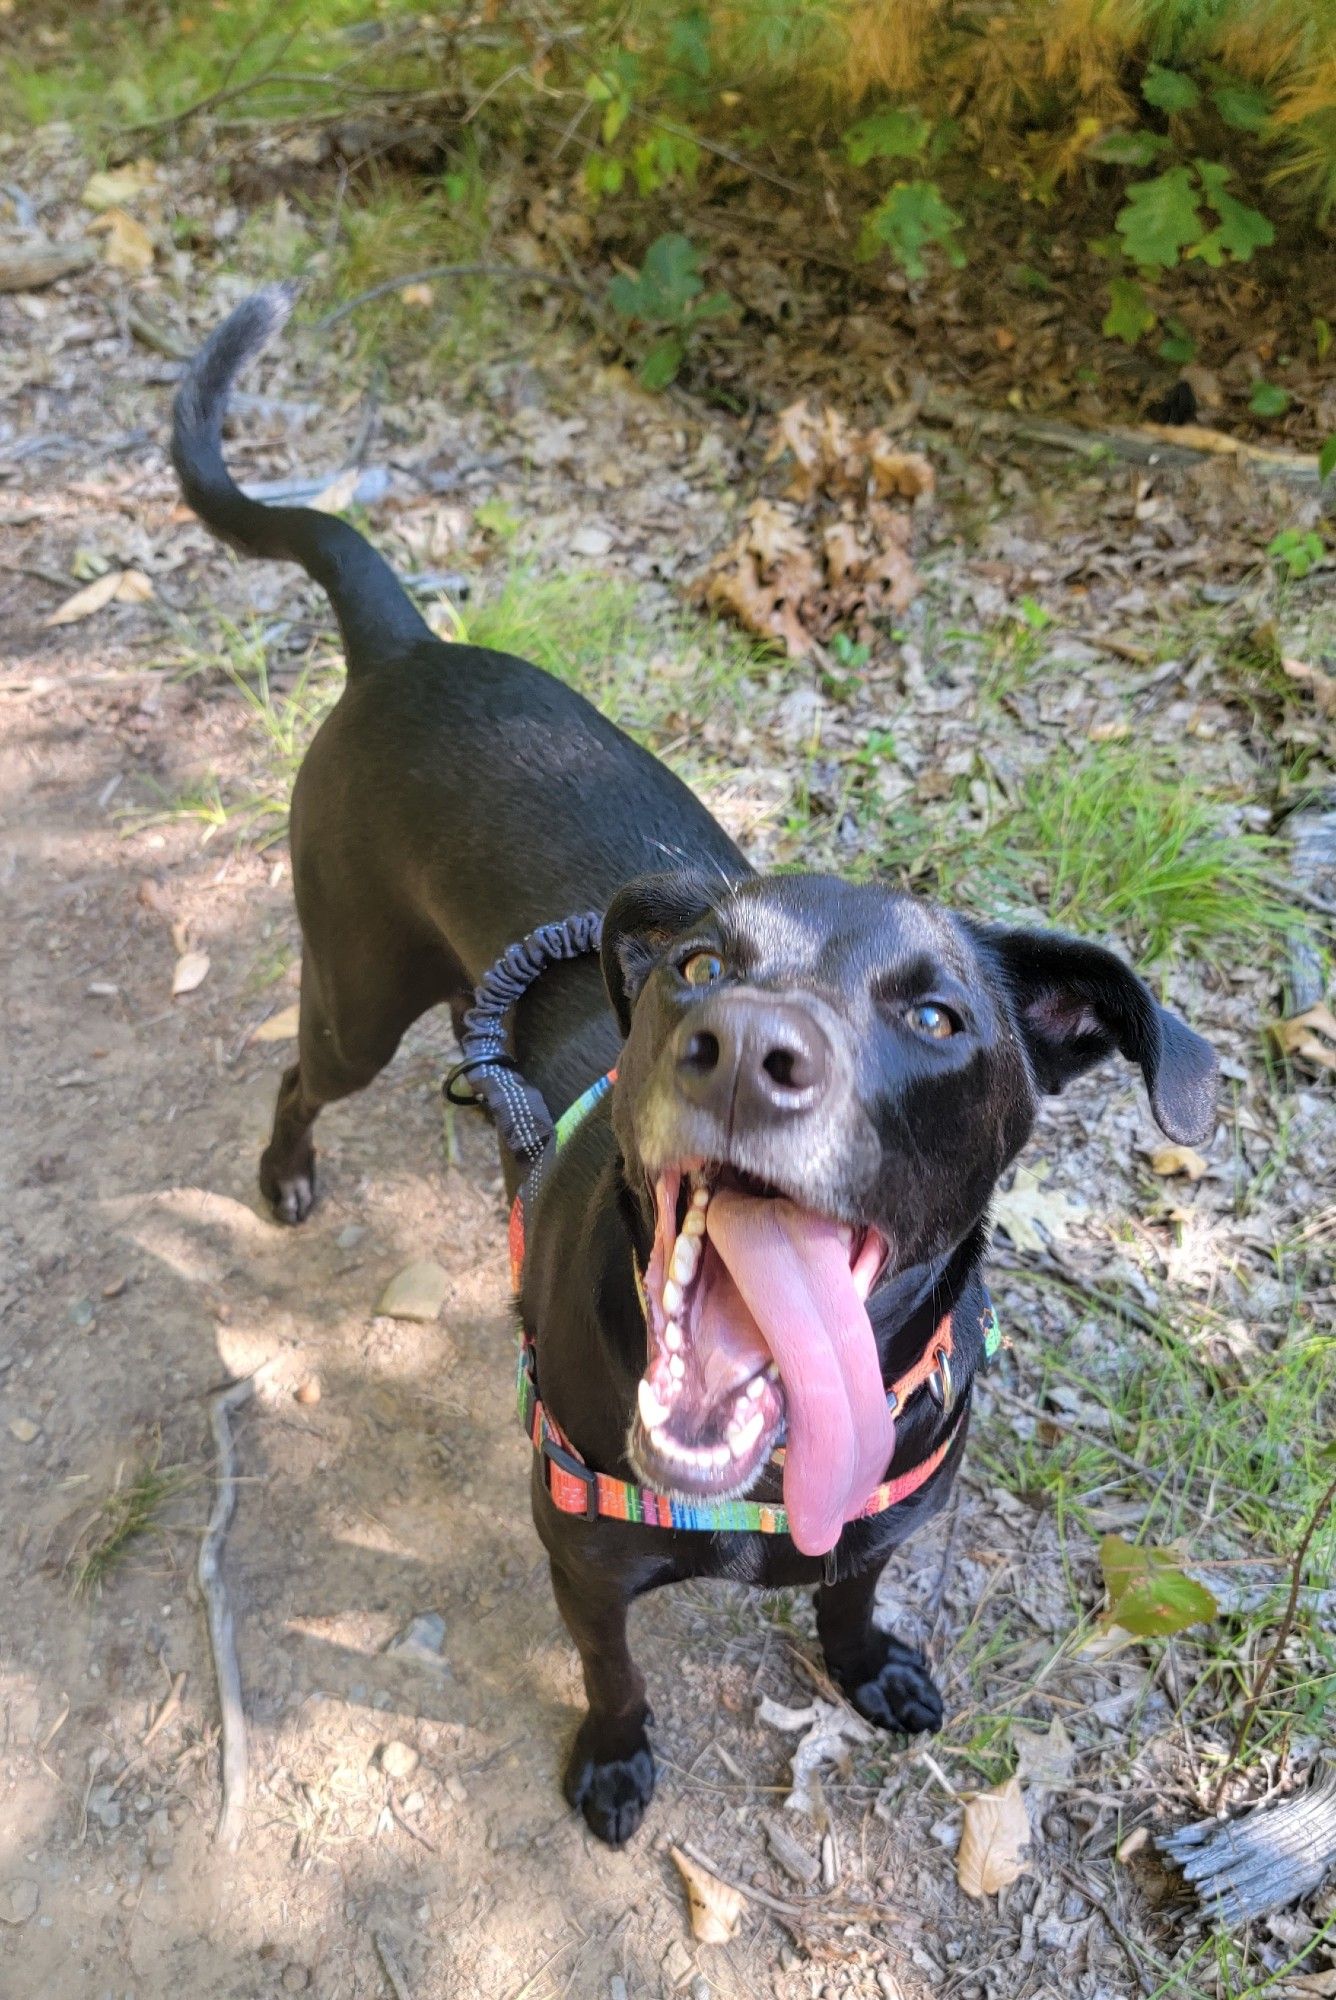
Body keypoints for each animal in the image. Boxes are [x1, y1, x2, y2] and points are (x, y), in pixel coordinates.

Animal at [172, 292, 1216, 1840]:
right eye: (700, 967)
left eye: (940, 1018)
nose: (744, 1053)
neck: (770, 1471)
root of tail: (411, 649)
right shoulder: (580, 1556)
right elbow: (614, 1674)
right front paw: (613, 1759)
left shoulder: (876, 1526)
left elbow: (851, 1596)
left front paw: (869, 1664)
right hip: (356, 992)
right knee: (303, 1076)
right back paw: (285, 1173)